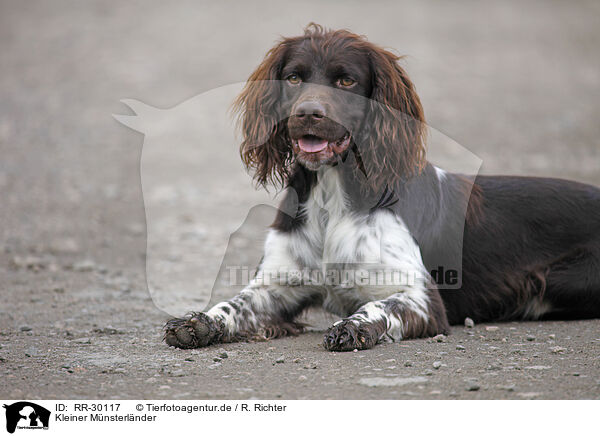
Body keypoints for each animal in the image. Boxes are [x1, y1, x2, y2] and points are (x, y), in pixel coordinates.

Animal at [163, 23, 600, 350]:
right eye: (293, 77)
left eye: (346, 80)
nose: (308, 113)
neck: (331, 197)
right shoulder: (279, 283)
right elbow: (235, 304)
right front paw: (199, 322)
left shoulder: (421, 299)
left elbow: (378, 307)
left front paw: (353, 327)